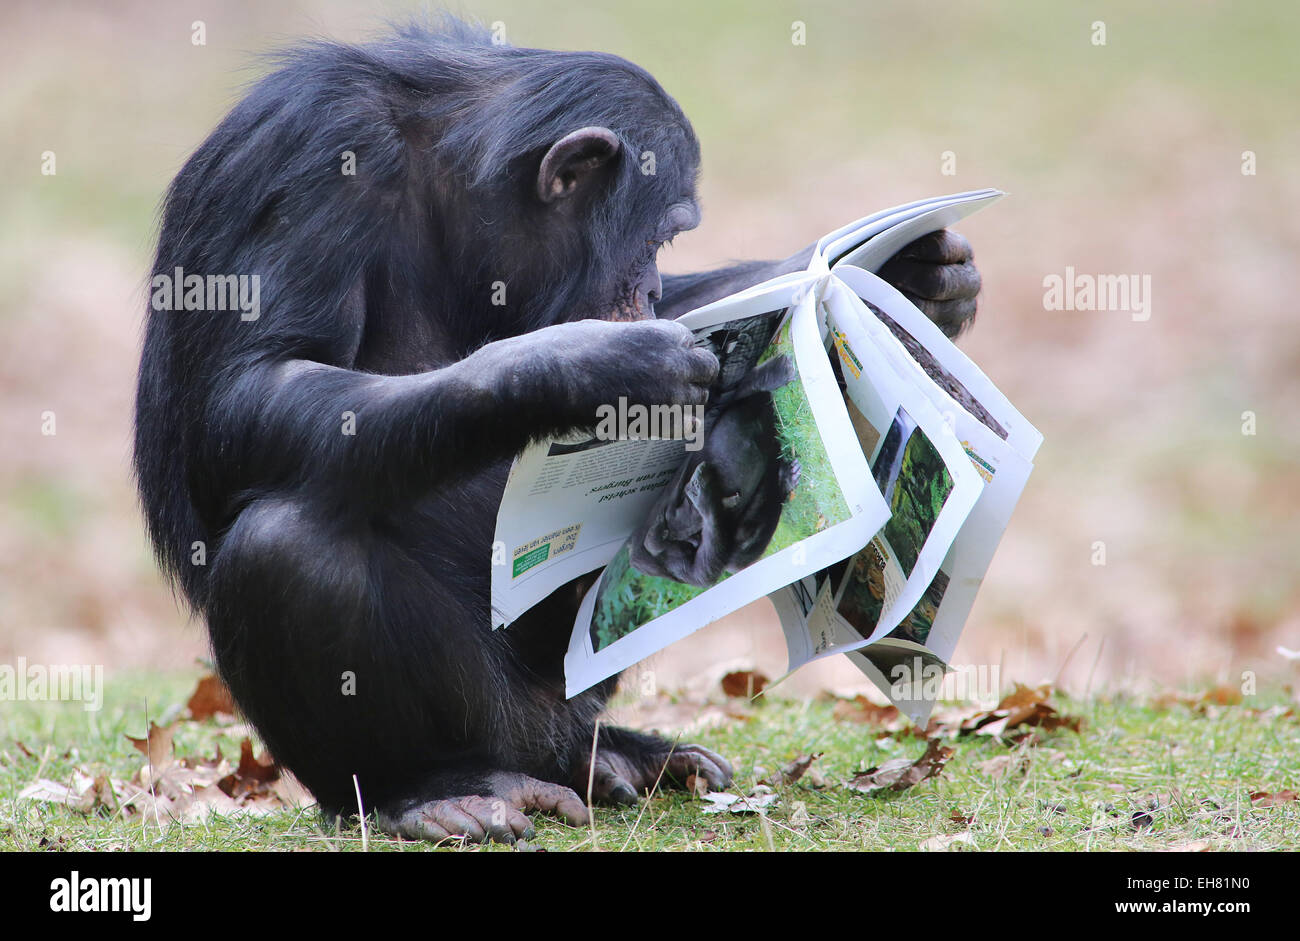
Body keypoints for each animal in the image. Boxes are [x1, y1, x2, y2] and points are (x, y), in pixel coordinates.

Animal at [134, 20, 982, 847]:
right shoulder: (311, 152)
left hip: (581, 694)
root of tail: (547, 737)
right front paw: (589, 367)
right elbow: (251, 388)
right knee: (285, 547)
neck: (448, 189)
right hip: (494, 712)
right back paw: (434, 791)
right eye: (661, 236)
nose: (647, 288)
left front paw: (918, 275)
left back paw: (627, 756)